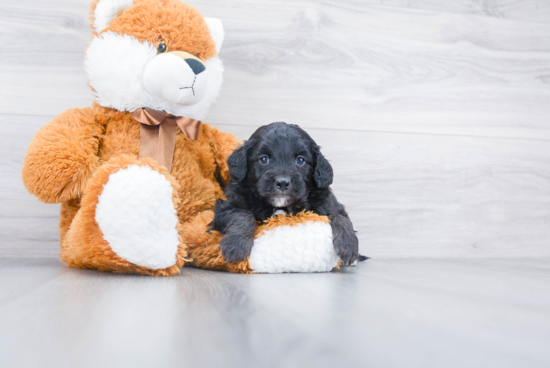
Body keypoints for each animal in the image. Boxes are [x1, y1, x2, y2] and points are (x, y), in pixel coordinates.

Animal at [210, 122, 362, 266]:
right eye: (264, 159)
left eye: (300, 160)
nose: (282, 182)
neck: (281, 206)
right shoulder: (225, 208)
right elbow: (243, 215)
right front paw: (235, 244)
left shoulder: (329, 204)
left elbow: (341, 217)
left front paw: (348, 245)